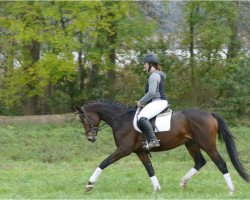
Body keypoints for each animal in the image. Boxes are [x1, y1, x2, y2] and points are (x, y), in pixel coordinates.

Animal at [74, 99, 248, 195]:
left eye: (84, 119)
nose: (90, 138)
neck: (121, 120)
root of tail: (210, 114)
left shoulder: (123, 150)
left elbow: (103, 163)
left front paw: (89, 184)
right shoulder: (140, 152)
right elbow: (150, 169)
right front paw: (157, 189)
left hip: (207, 144)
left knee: (221, 163)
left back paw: (231, 190)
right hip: (191, 144)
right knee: (200, 162)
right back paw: (183, 183)